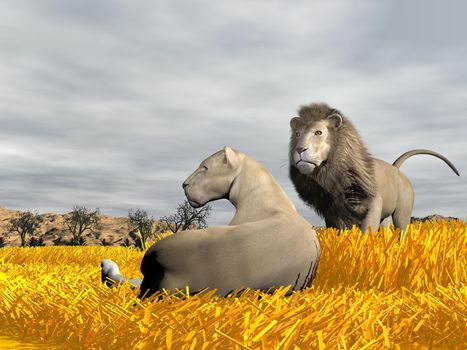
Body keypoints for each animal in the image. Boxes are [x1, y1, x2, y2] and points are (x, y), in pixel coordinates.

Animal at [288, 102, 460, 231]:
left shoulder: (373, 203)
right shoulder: (332, 211)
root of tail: (395, 168)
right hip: (386, 216)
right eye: (297, 134)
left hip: (402, 211)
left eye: (318, 132)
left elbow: (366, 231)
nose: (300, 149)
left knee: (402, 230)